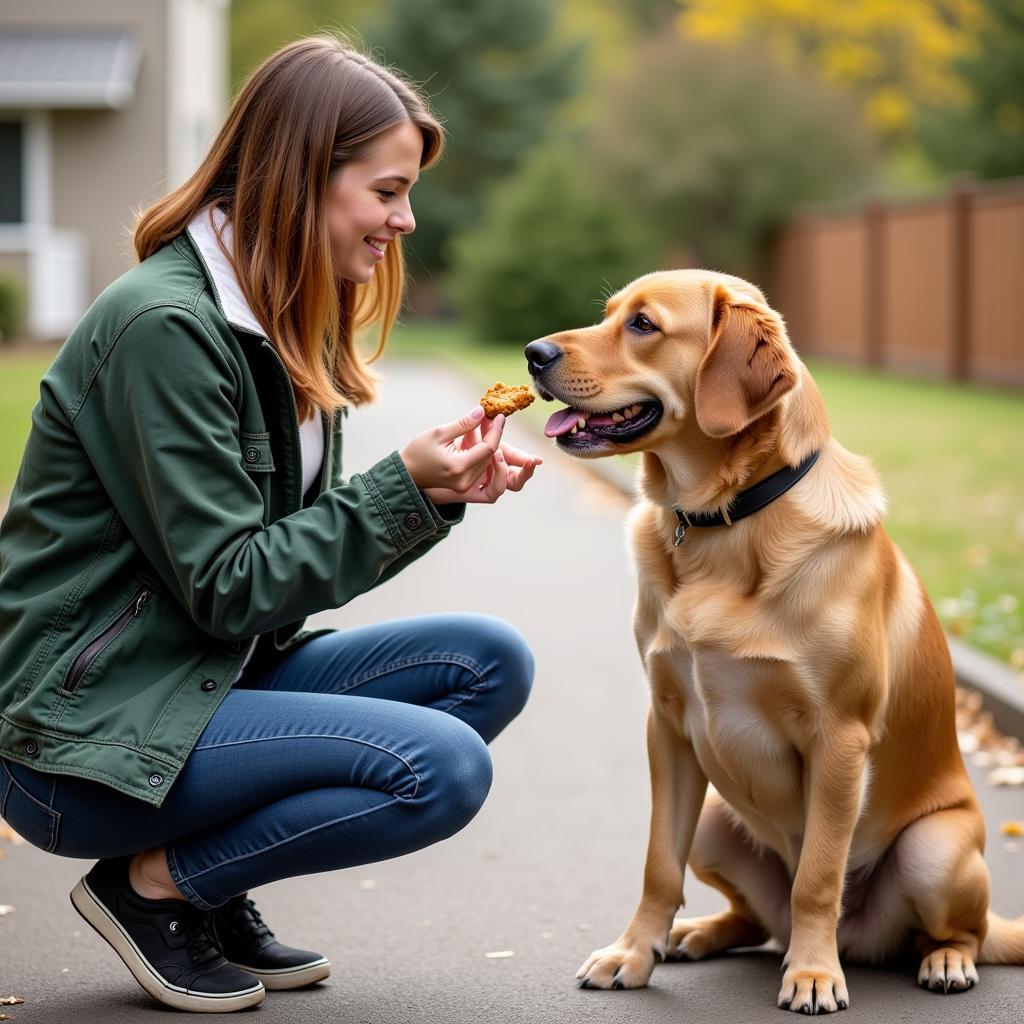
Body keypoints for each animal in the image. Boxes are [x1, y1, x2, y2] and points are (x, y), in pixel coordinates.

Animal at [528, 272, 1024, 1015]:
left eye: (643, 325)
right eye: (609, 314)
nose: (533, 354)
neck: (725, 524)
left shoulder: (839, 739)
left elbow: (817, 876)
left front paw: (813, 974)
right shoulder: (667, 727)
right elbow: (657, 866)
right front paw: (633, 953)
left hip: (933, 849)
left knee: (957, 931)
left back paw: (939, 960)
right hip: (713, 819)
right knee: (758, 920)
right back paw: (697, 934)